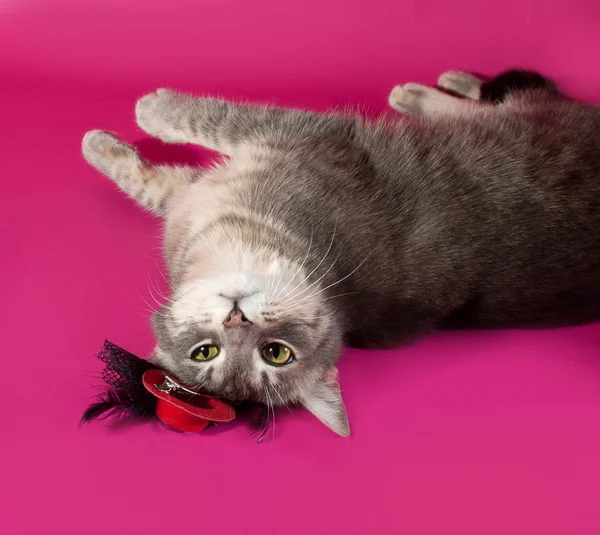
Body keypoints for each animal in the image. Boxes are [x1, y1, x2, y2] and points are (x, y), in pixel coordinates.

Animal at [82, 69, 600, 438]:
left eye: (276, 354)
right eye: (205, 352)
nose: (236, 318)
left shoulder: (306, 135)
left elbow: (206, 118)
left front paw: (147, 109)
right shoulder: (188, 199)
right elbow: (144, 182)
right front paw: (102, 148)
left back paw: (423, 92)